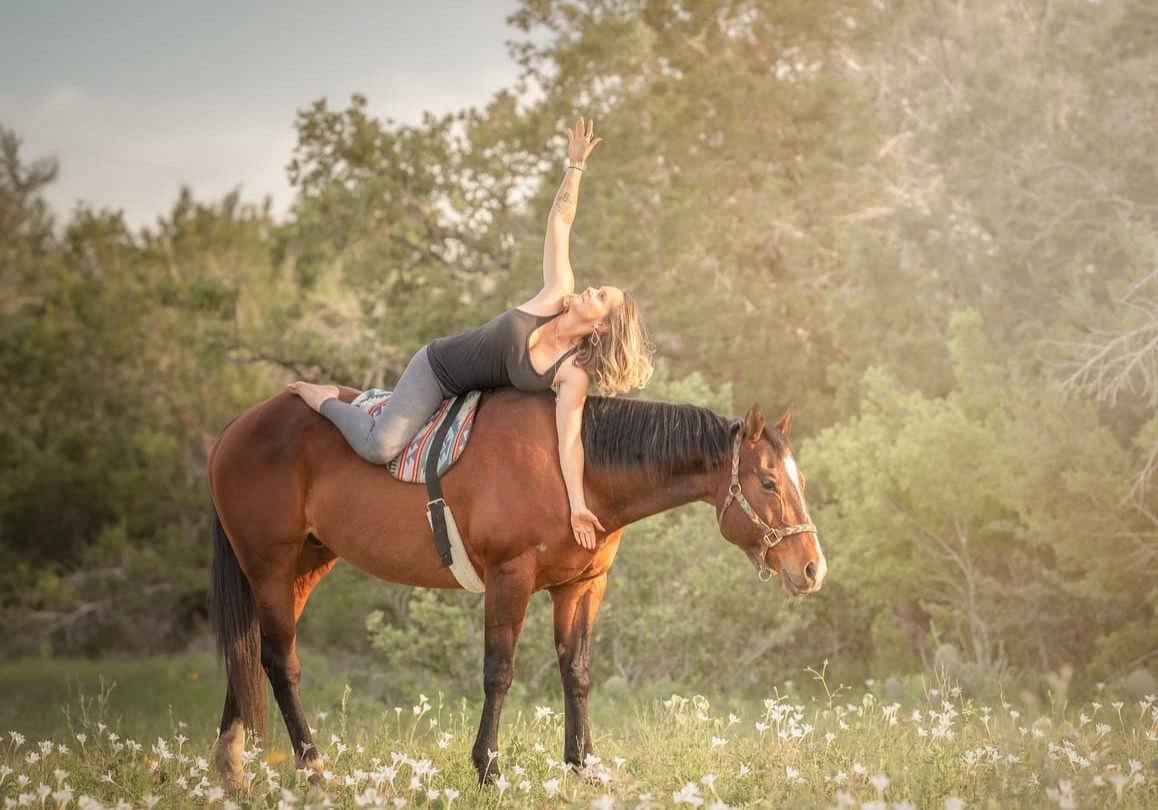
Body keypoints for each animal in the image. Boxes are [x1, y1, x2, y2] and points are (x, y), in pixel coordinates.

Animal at [206, 389, 824, 787]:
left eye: (798, 479)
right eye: (768, 482)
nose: (813, 568)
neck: (574, 468)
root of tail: (234, 430)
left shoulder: (581, 587)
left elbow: (576, 672)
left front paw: (583, 766)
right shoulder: (510, 578)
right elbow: (498, 672)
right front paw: (489, 769)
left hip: (303, 567)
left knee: (250, 656)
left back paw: (230, 772)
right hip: (271, 566)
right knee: (279, 663)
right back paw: (313, 769)